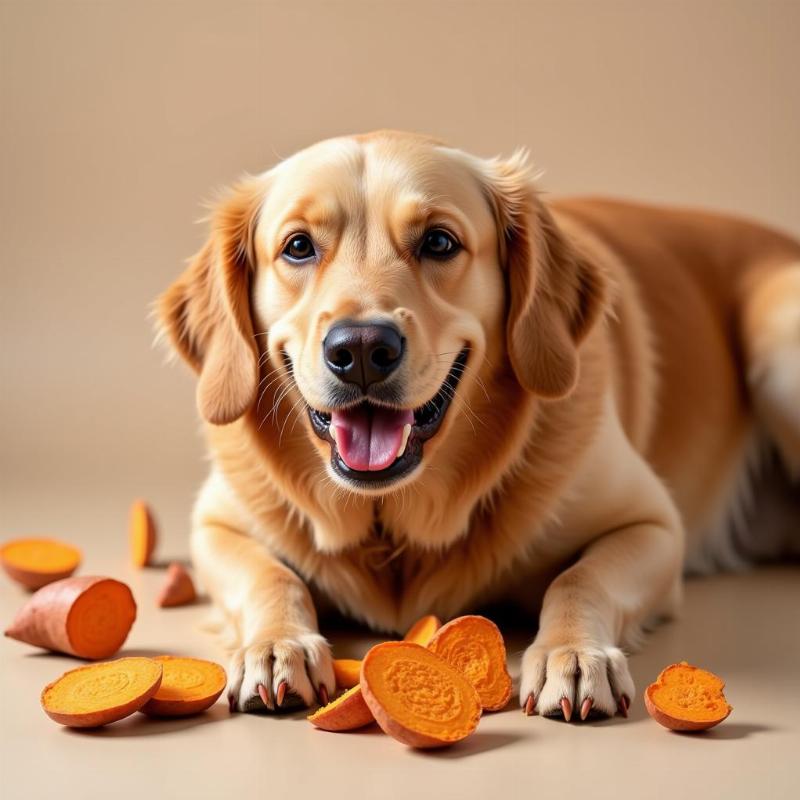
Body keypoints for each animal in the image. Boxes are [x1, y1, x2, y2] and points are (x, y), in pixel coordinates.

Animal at [156, 130, 800, 720]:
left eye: (439, 241)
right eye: (297, 247)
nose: (360, 349)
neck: (395, 531)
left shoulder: (654, 527)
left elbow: (579, 579)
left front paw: (572, 655)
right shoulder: (215, 525)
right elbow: (270, 576)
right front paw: (276, 645)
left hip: (777, 349)